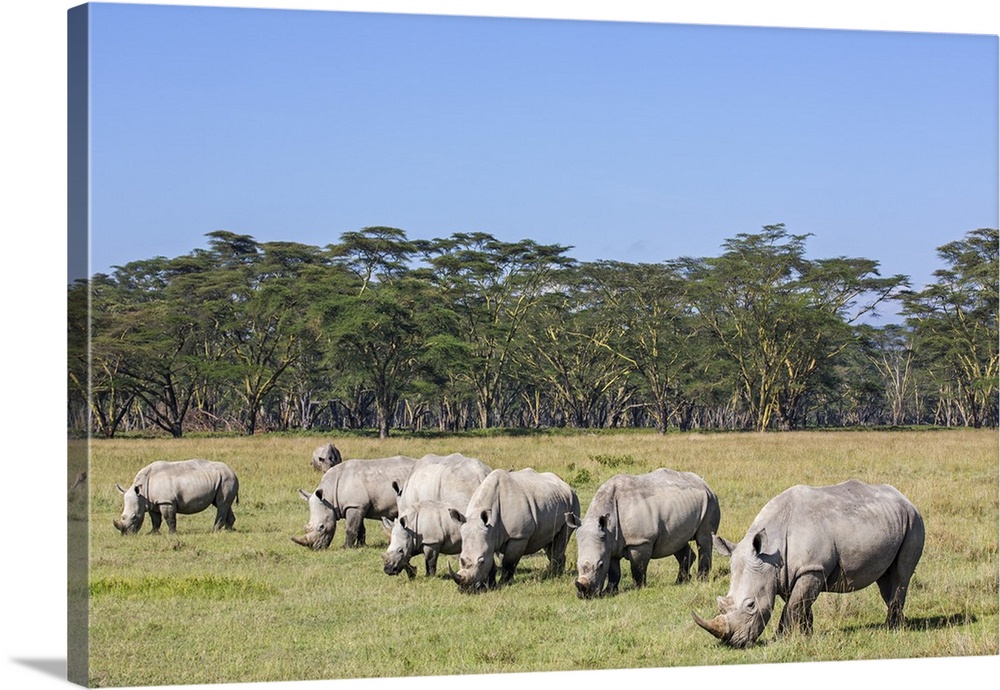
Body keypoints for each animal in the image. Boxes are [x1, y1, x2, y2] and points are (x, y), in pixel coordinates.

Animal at [448, 464, 580, 588]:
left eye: (481, 561)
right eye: (461, 559)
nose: (465, 588)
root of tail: (564, 482)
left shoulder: (518, 536)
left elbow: (509, 562)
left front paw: (504, 583)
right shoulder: (488, 538)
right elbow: (492, 562)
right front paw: (490, 585)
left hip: (573, 502)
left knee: (561, 539)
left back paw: (555, 575)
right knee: (549, 541)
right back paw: (552, 573)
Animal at [568, 468, 724, 596]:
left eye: (600, 565)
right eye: (577, 564)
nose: (584, 594)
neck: (608, 526)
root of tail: (705, 483)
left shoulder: (640, 541)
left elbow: (638, 567)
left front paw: (638, 588)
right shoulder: (610, 542)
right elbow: (614, 570)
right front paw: (609, 591)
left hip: (710, 501)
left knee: (704, 538)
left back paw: (701, 580)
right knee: (677, 541)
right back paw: (680, 582)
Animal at [696, 478, 920, 644]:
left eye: (751, 605)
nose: (733, 642)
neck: (771, 550)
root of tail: (904, 498)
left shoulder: (812, 568)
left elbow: (794, 605)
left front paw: (782, 638)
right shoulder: (786, 572)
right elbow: (801, 604)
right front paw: (806, 634)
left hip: (914, 521)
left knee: (901, 575)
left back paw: (892, 629)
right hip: (892, 521)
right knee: (885, 579)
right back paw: (899, 625)